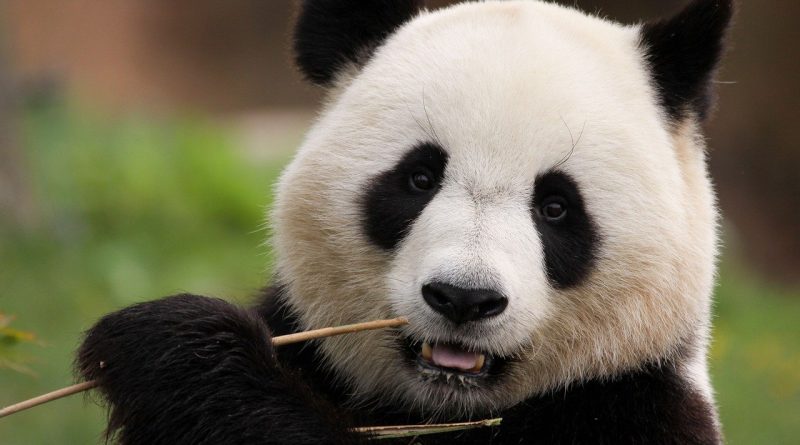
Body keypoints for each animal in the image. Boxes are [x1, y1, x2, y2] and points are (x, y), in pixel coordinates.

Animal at [77, 0, 733, 443]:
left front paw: (173, 342)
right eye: (419, 178)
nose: (464, 298)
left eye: (555, 207)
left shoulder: (631, 411)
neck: (438, 409)